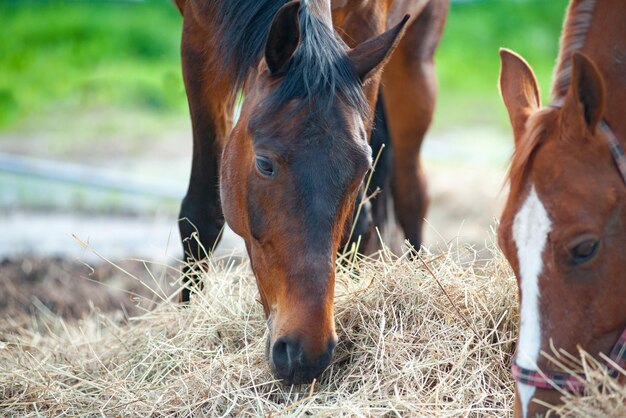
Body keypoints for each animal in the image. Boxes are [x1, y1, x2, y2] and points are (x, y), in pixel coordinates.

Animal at [173, 0, 446, 384]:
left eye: (361, 167)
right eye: (264, 164)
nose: (306, 353)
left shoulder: (367, 22)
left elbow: (356, 224)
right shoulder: (200, 35)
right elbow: (201, 216)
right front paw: (186, 319)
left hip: (416, 57)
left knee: (411, 190)